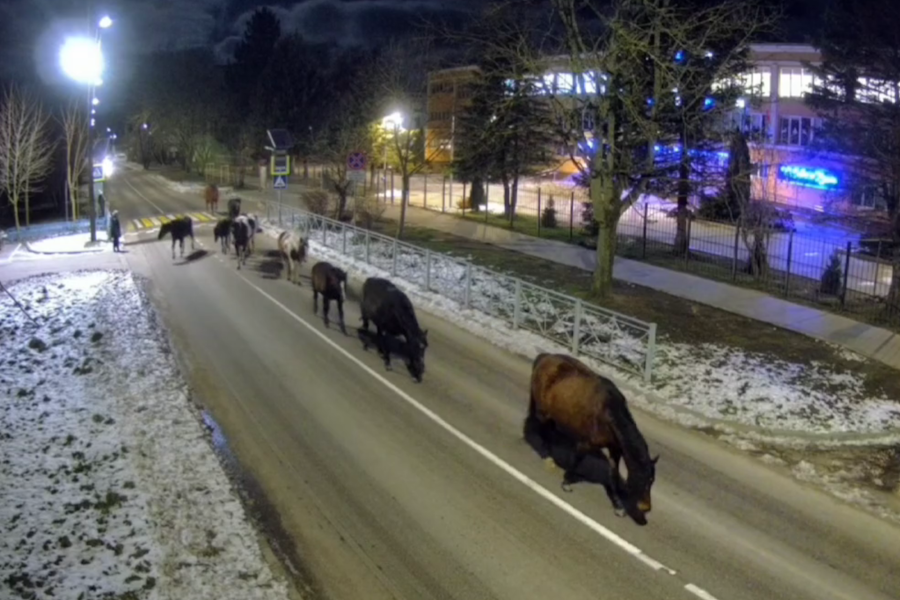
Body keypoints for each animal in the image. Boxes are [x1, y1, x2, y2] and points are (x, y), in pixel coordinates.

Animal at [528, 352, 660, 524]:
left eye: (652, 480)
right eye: (640, 477)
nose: (645, 507)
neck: (607, 413)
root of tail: (544, 357)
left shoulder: (615, 449)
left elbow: (613, 474)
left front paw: (618, 506)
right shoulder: (586, 443)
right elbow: (577, 460)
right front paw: (567, 482)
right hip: (543, 411)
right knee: (543, 428)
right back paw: (547, 454)